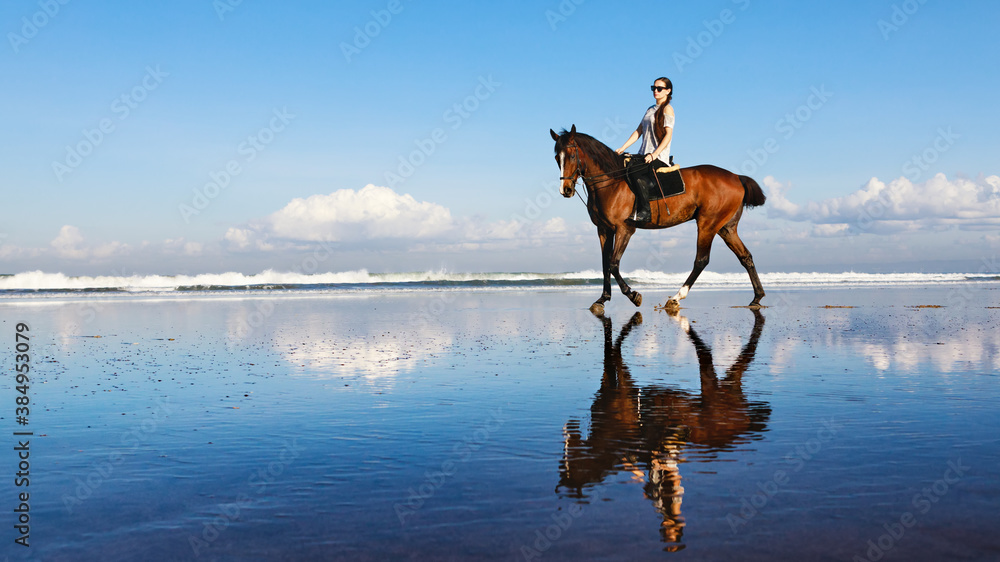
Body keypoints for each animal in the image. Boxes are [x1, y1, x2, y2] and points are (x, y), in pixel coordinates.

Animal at [552, 124, 768, 312]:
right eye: (556, 158)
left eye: (572, 155)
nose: (566, 190)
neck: (611, 182)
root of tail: (736, 177)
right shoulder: (604, 230)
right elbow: (605, 264)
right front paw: (603, 299)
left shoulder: (624, 229)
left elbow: (613, 264)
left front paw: (633, 295)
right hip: (726, 228)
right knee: (745, 257)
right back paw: (757, 297)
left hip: (708, 224)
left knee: (701, 260)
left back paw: (676, 297)